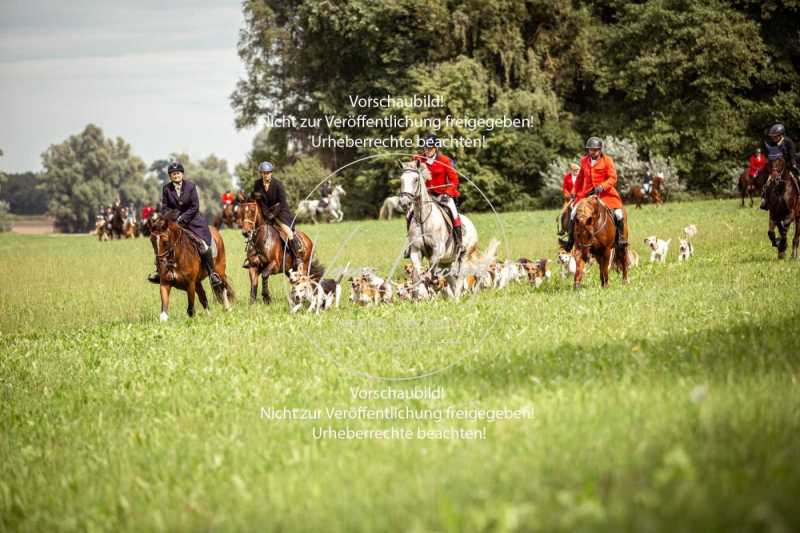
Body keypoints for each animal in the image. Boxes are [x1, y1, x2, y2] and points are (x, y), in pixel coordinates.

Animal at [396, 160, 478, 298]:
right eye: (401, 180)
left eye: (416, 180)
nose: (404, 203)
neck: (423, 219)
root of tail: (470, 223)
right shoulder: (416, 250)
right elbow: (417, 273)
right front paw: (421, 292)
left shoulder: (437, 250)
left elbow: (431, 270)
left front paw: (433, 284)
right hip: (447, 261)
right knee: (451, 278)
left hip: (463, 256)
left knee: (460, 277)